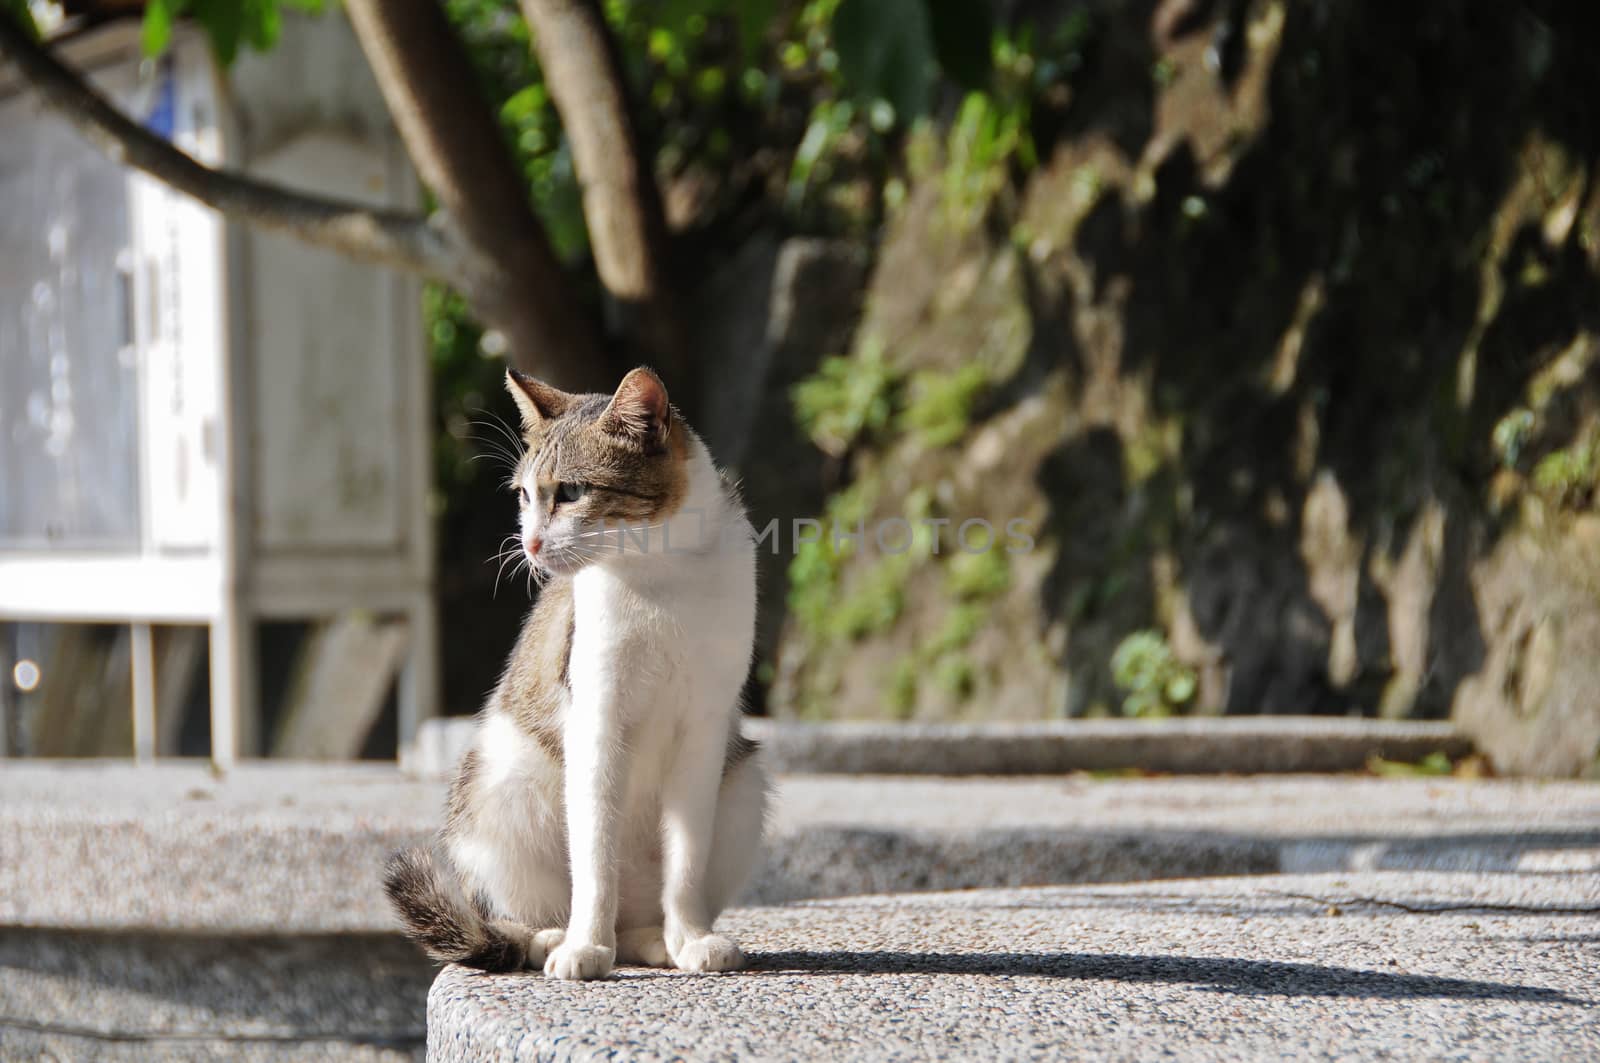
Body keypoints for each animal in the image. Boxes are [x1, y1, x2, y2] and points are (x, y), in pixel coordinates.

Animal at [384, 365, 764, 979]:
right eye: (524, 494)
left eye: (570, 492)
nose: (531, 543)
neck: (661, 572)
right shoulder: (596, 718)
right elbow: (593, 855)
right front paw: (585, 946)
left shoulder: (704, 730)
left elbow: (686, 858)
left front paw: (691, 937)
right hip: (500, 786)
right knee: (520, 917)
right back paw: (551, 939)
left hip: (744, 784)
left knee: (639, 918)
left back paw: (656, 940)